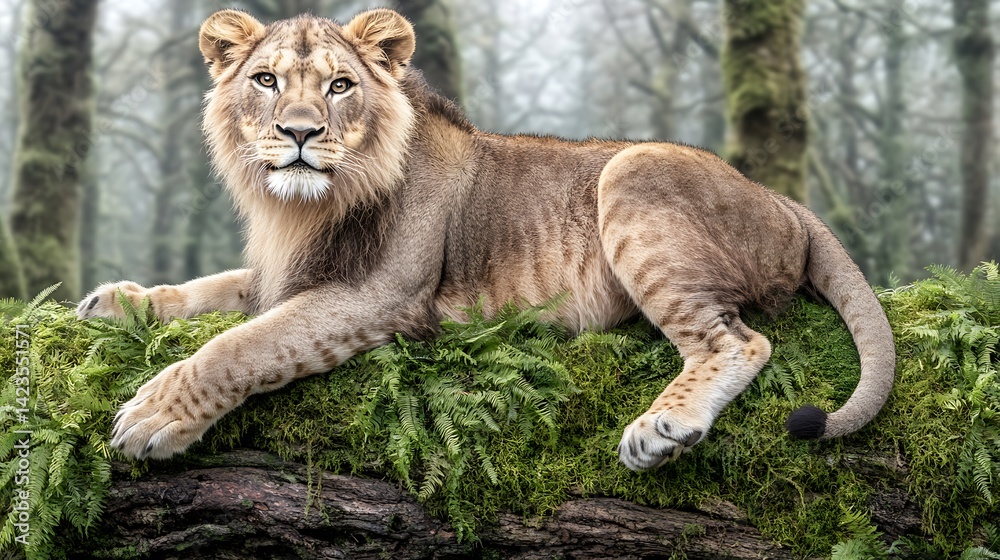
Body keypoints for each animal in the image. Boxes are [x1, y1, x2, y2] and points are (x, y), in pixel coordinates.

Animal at [77, 8, 895, 470]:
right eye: (267, 81)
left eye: (340, 86)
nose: (300, 133)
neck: (306, 208)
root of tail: (782, 199)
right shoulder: (283, 271)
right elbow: (210, 289)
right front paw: (116, 301)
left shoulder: (380, 295)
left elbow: (242, 345)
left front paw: (155, 414)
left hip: (631, 169)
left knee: (740, 342)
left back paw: (661, 428)